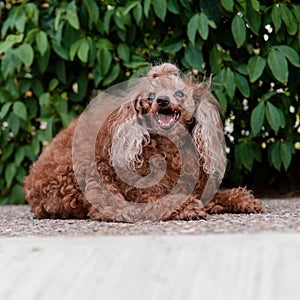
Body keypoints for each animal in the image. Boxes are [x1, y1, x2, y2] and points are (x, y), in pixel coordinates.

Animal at [22, 63, 262, 221]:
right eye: (150, 96)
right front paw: (189, 207)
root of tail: (31, 181)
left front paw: (243, 200)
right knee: (109, 206)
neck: (170, 148)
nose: (162, 101)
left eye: (179, 93)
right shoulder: (143, 193)